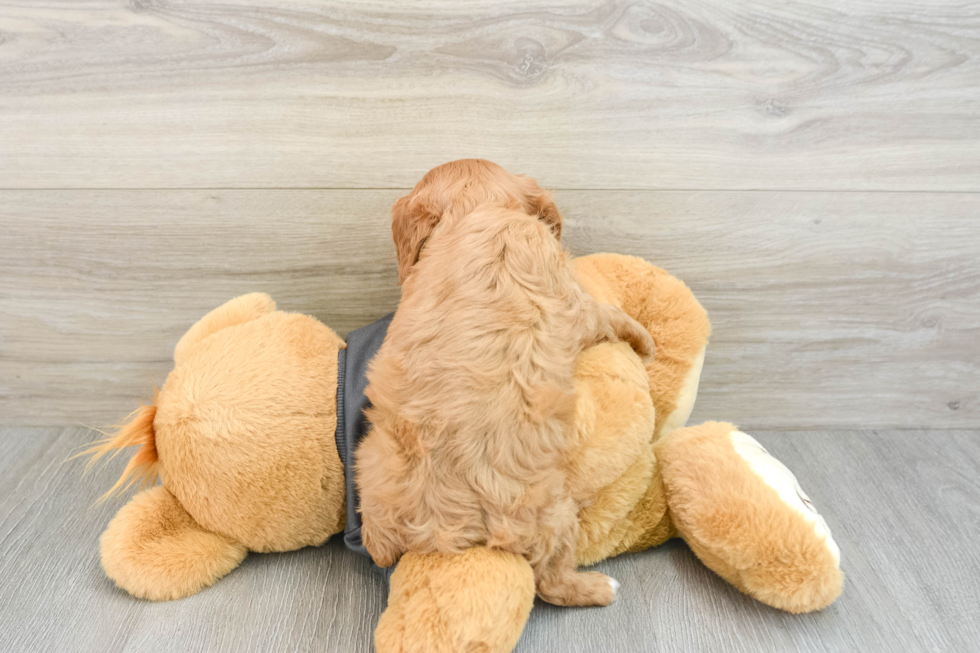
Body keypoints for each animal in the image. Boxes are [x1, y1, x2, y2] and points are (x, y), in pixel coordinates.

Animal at [356, 159, 656, 608]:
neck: (477, 210)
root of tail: (441, 531)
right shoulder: (574, 301)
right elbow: (608, 314)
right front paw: (646, 340)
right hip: (553, 511)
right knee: (551, 582)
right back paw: (600, 587)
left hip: (370, 465)